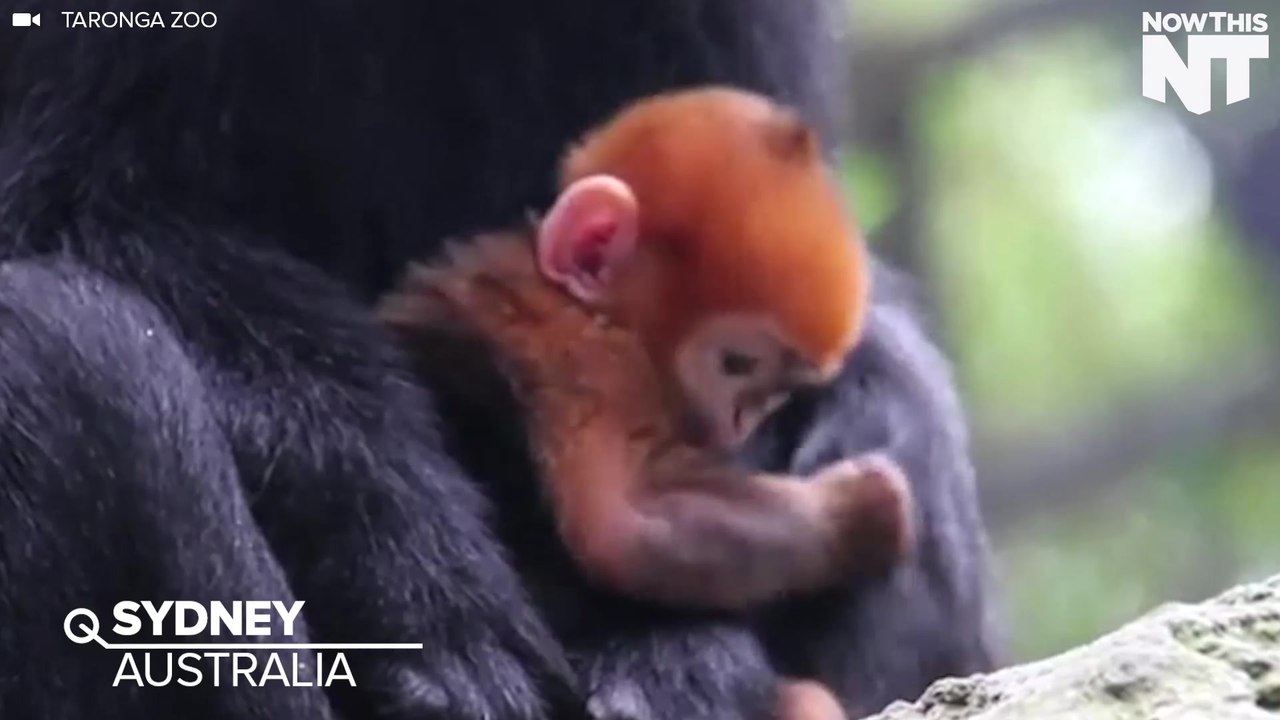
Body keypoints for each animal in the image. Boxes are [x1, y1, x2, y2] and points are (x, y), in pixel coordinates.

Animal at [379, 88, 915, 617]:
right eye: (736, 365)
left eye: (777, 392)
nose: (737, 425)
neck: (584, 309)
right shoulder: (590, 367)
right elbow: (620, 534)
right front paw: (857, 515)